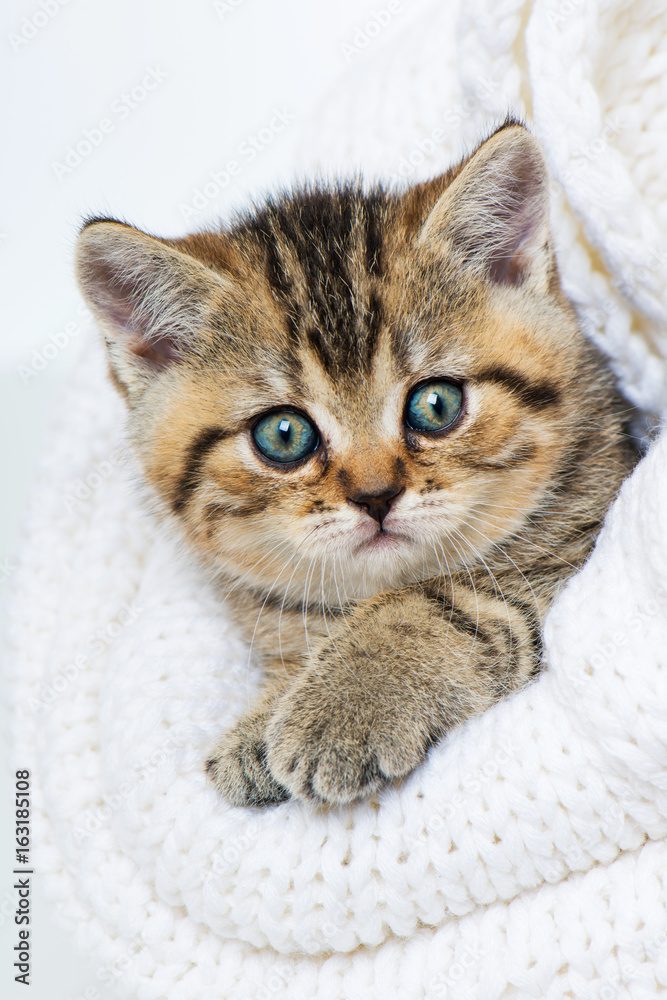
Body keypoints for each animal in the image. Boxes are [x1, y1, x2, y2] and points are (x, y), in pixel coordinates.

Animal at [75, 121, 640, 808]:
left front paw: (349, 697)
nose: (376, 496)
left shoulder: (585, 545)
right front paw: (266, 716)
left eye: (436, 404)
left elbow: (441, 599)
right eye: (284, 435)